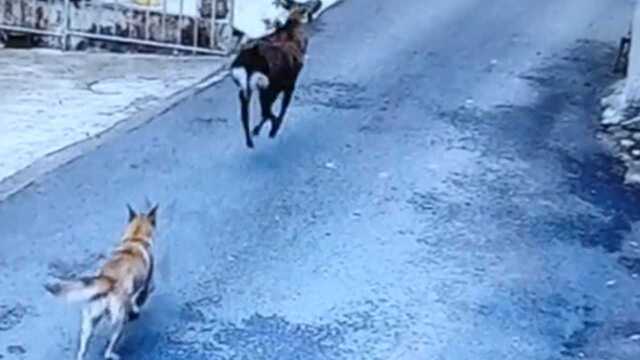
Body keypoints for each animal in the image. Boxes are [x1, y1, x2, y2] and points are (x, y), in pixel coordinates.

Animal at [45, 204, 159, 358]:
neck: (135, 239)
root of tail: (106, 282)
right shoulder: (145, 283)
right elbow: (138, 298)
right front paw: (136, 309)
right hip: (117, 323)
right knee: (109, 346)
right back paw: (111, 354)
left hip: (87, 327)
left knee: (82, 352)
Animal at [230, 8, 310, 149]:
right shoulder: (287, 86)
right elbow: (280, 109)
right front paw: (272, 129)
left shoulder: (273, 89)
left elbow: (268, 112)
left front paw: (259, 130)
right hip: (264, 87)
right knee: (266, 112)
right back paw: (271, 129)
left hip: (246, 89)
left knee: (246, 116)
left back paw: (250, 141)